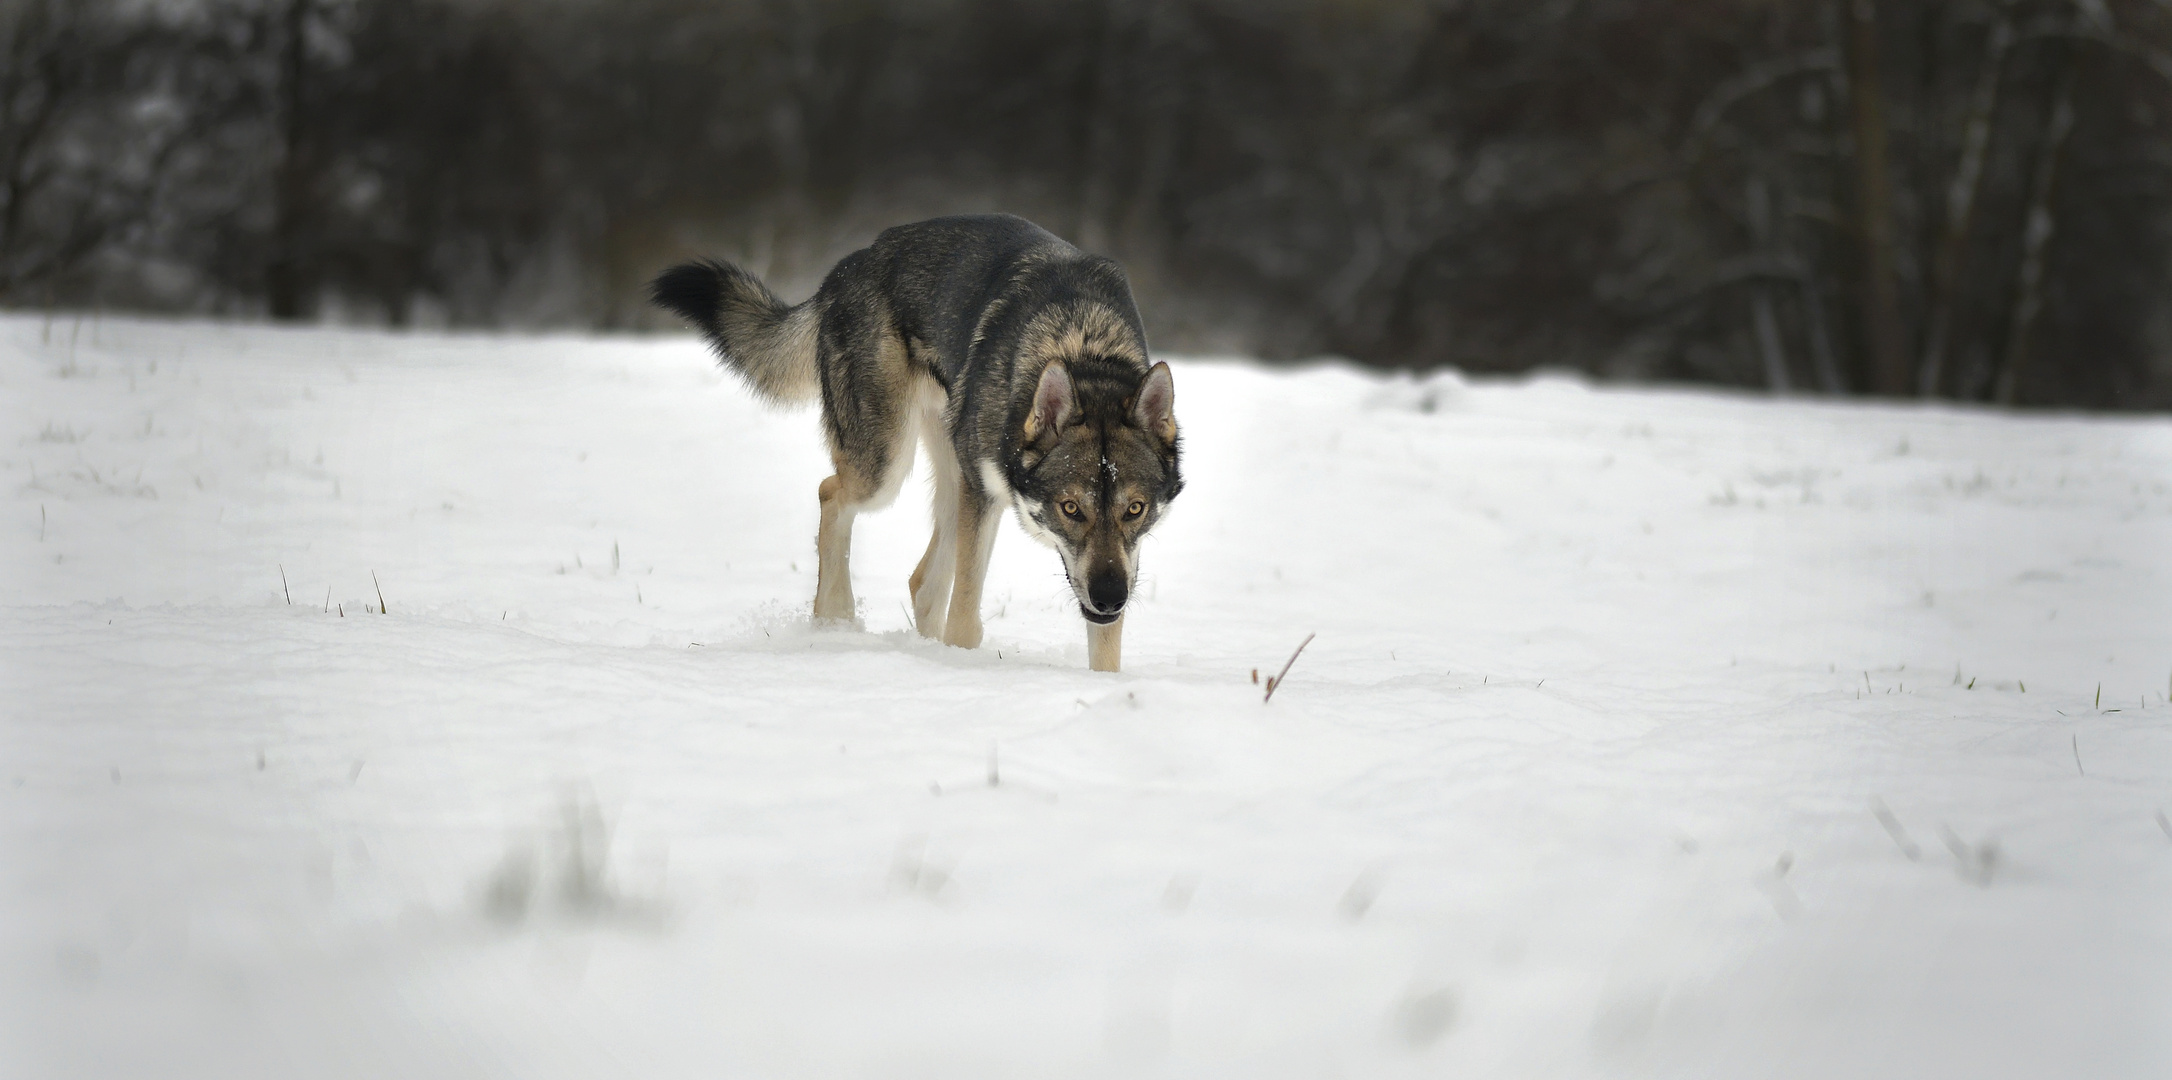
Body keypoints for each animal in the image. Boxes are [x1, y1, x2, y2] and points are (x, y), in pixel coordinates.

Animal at [647, 211, 1190, 669]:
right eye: (1071, 508)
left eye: (1135, 509)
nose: (1110, 597)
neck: (1080, 344)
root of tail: (844, 269)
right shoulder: (983, 495)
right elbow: (966, 617)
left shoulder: (1114, 562)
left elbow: (1106, 650)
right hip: (889, 467)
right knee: (831, 495)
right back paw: (835, 620)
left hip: (948, 477)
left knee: (922, 582)